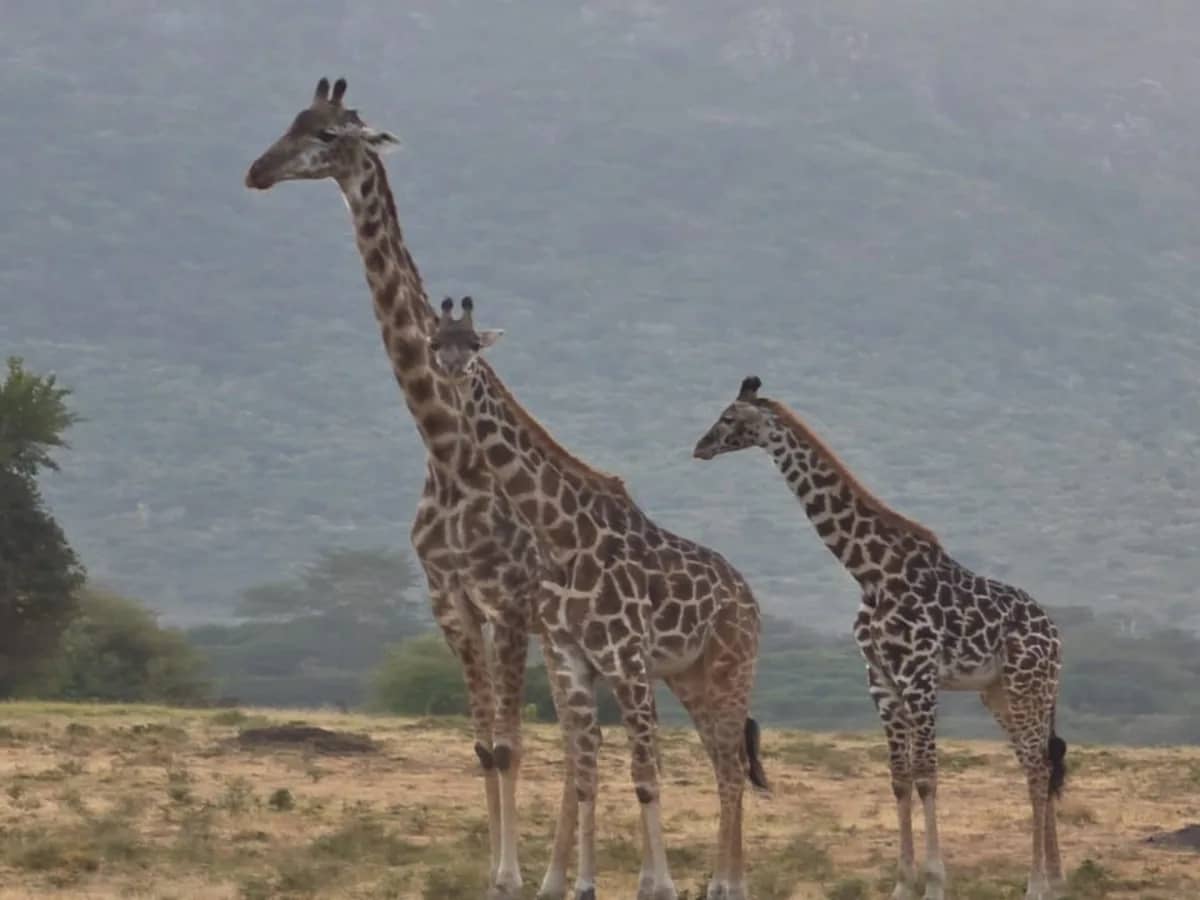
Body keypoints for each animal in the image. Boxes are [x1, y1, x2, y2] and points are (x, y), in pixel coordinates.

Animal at [243, 77, 578, 899]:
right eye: (292, 119)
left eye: (329, 134)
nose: (257, 172)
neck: (446, 452)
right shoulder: (449, 600)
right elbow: (484, 745)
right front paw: (494, 872)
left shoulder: (509, 600)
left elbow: (512, 744)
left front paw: (511, 875)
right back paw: (557, 873)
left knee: (579, 740)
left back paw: (556, 875)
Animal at [429, 297, 768, 900]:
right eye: (434, 342)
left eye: (472, 344)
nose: (451, 370)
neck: (562, 534)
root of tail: (748, 597)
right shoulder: (572, 658)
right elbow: (586, 772)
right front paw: (582, 885)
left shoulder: (625, 658)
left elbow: (645, 775)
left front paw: (660, 887)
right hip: (690, 675)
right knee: (723, 763)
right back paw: (725, 882)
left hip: (732, 665)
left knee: (730, 767)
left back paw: (726, 886)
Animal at [692, 376, 1067, 900]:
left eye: (728, 417)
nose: (700, 447)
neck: (870, 572)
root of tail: (1054, 634)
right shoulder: (881, 679)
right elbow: (899, 778)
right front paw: (902, 884)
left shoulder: (919, 676)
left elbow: (928, 776)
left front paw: (935, 883)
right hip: (999, 693)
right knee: (1040, 765)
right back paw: (1054, 879)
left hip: (1026, 686)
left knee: (1038, 768)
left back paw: (1037, 884)